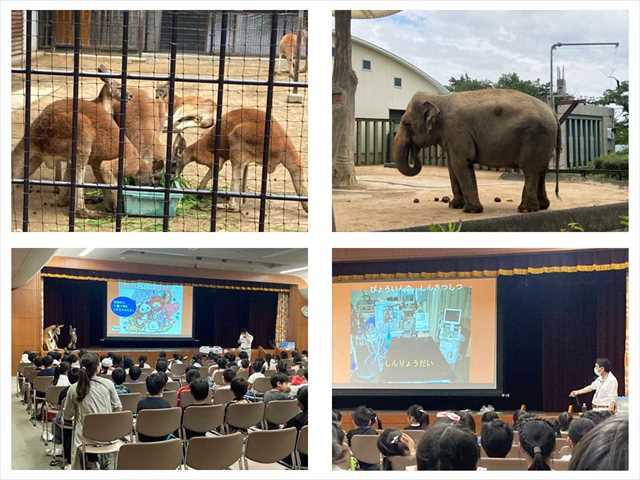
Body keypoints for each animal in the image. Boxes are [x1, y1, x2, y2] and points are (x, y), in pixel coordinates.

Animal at [392, 89, 564, 213]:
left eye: (406, 124)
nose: (414, 150)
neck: (440, 99)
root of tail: (553, 113)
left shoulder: (457, 130)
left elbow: (461, 164)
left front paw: (470, 210)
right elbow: (452, 167)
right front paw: (454, 206)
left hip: (535, 137)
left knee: (531, 171)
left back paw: (526, 209)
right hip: (544, 141)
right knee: (541, 170)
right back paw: (542, 207)